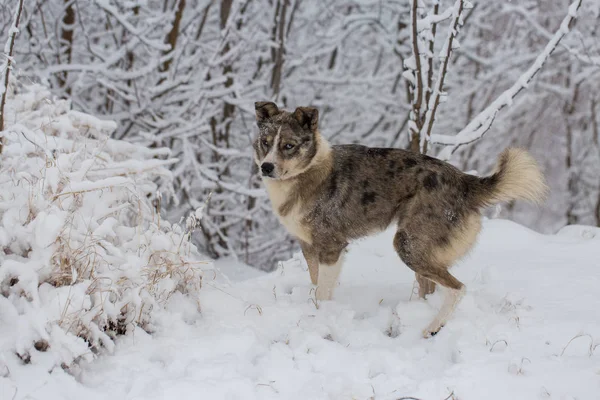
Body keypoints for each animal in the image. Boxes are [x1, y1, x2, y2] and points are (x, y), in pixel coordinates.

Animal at [253, 101, 548, 338]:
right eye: (265, 142)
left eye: (288, 146)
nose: (266, 167)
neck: (307, 172)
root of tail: (464, 181)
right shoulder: (308, 246)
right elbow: (316, 284)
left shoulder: (331, 246)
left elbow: (323, 292)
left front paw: (320, 318)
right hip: (421, 249)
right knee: (432, 288)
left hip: (408, 244)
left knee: (458, 288)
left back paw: (432, 327)